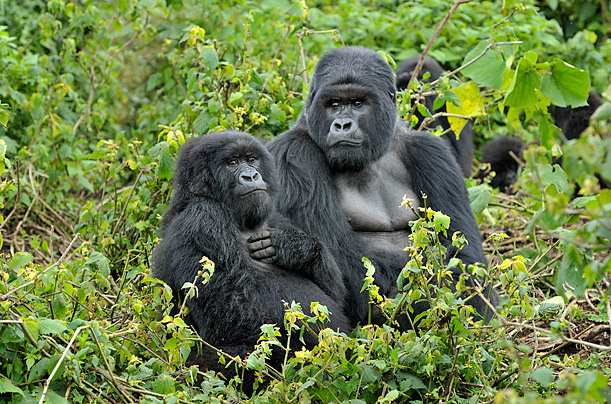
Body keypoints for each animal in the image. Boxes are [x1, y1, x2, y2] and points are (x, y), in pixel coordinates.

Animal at [153, 133, 352, 382]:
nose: (251, 176)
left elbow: (334, 296)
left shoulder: (276, 217)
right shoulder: (202, 219)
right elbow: (233, 315)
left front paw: (296, 247)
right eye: (232, 163)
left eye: (251, 159)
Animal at [268, 46, 498, 328]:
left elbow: (467, 262)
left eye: (358, 103)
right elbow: (356, 273)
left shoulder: (433, 153)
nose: (342, 124)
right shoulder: (292, 155)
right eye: (334, 104)